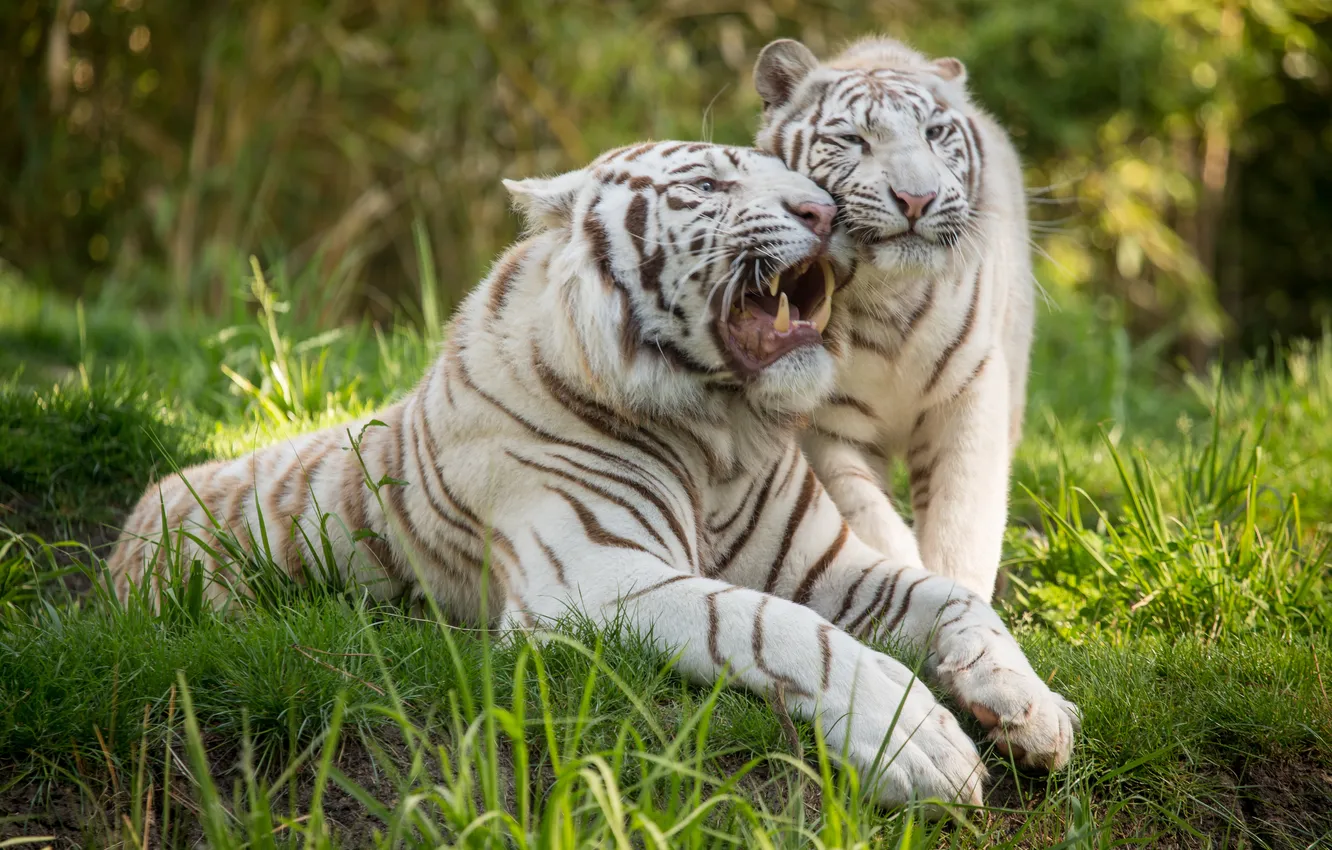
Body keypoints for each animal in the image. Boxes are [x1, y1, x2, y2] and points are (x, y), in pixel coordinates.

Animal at [109, 141, 1076, 807]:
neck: (720, 435)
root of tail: (129, 522)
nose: (827, 211)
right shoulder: (592, 576)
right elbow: (776, 627)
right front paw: (920, 743)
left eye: (800, 174)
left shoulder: (822, 565)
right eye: (709, 187)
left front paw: (1030, 708)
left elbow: (955, 599)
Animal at [753, 36, 1036, 601]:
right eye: (853, 139)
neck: (887, 295)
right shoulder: (826, 423)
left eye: (934, 134)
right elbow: (870, 520)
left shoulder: (969, 394)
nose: (916, 199)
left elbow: (963, 522)